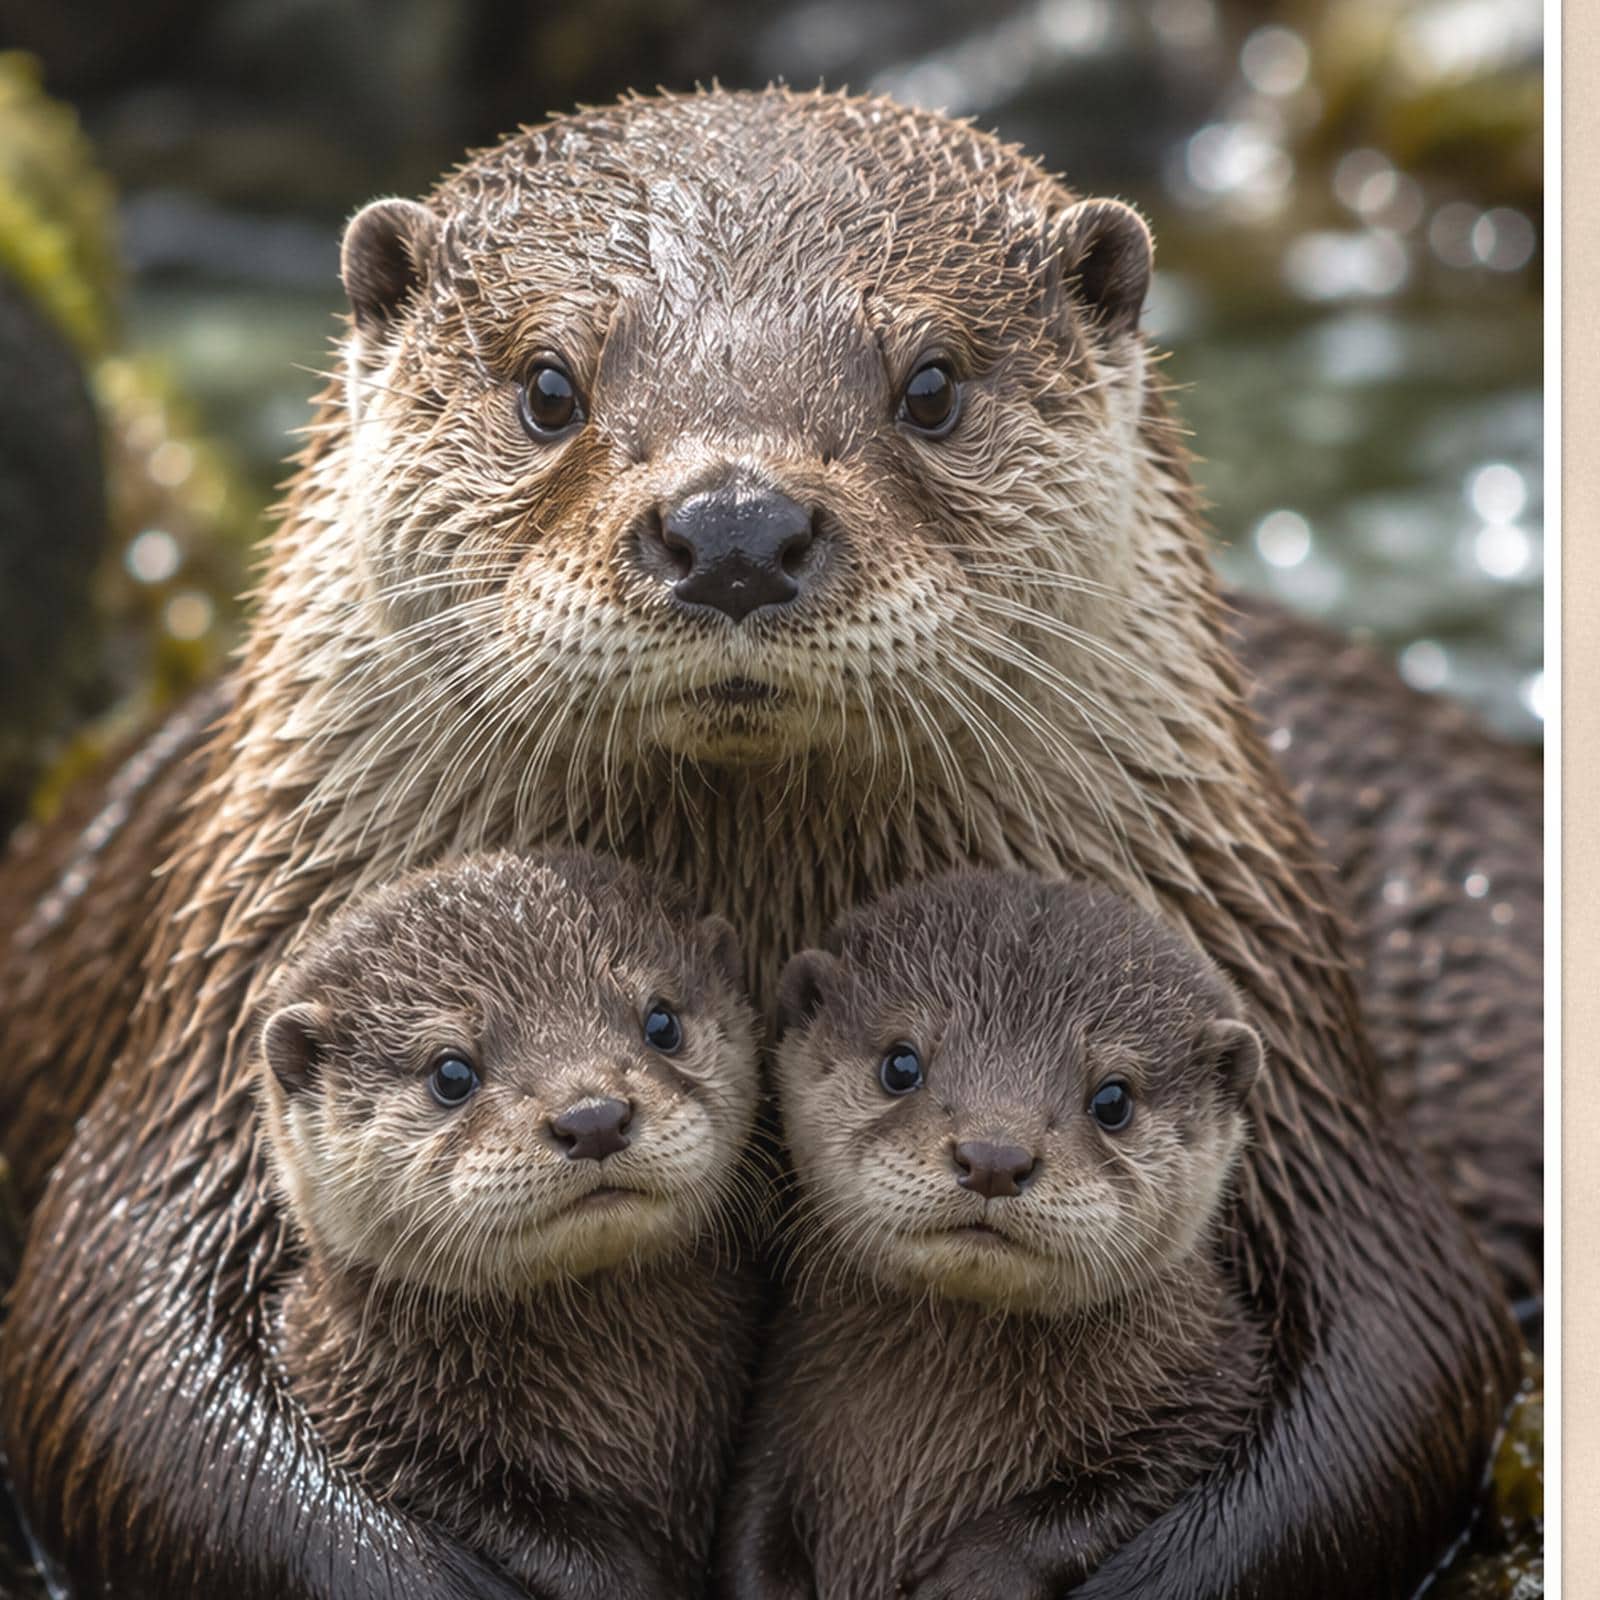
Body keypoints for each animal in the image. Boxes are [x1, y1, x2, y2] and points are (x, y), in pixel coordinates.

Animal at [722, 870, 1269, 1600]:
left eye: (1114, 1099)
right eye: (901, 1064)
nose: (993, 1157)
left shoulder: (1219, 1386)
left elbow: (1123, 1487)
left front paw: (977, 1573)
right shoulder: (778, 1410)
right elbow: (750, 1524)